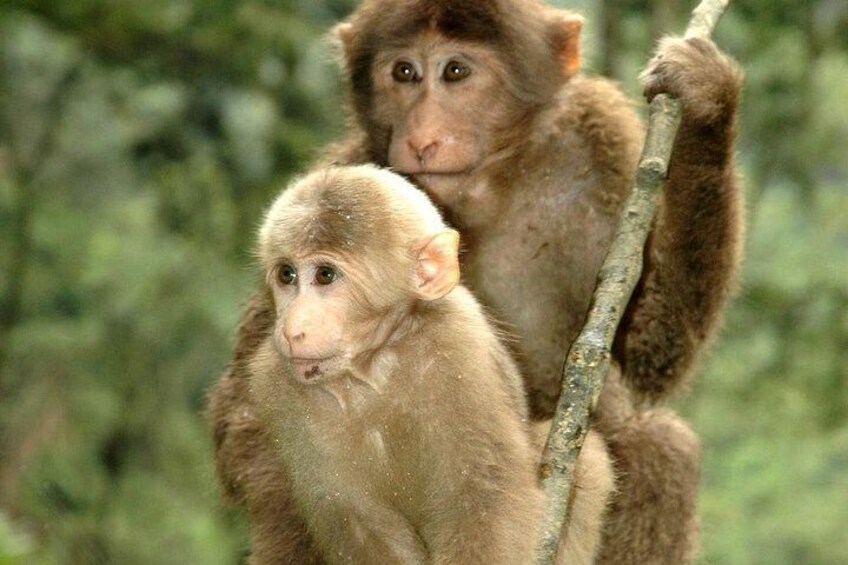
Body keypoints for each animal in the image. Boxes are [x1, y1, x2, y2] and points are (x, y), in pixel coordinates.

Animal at [244, 164, 614, 564]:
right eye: (287, 275)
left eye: (325, 275)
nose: (292, 327)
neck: (372, 368)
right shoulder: (276, 387)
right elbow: (356, 522)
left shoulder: (460, 346)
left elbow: (481, 497)